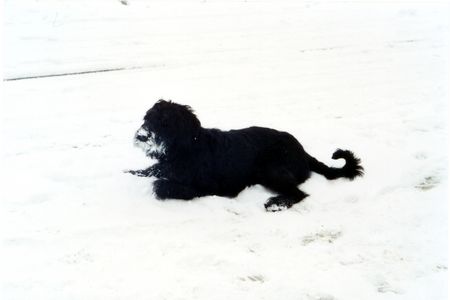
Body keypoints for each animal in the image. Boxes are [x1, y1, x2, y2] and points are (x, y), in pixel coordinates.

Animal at [125, 100, 362, 211]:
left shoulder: (208, 188)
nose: (142, 136)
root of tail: (303, 152)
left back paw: (276, 203)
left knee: (299, 194)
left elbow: (161, 185)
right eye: (147, 118)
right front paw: (130, 172)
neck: (187, 147)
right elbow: (150, 171)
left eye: (165, 122)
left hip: (271, 169)